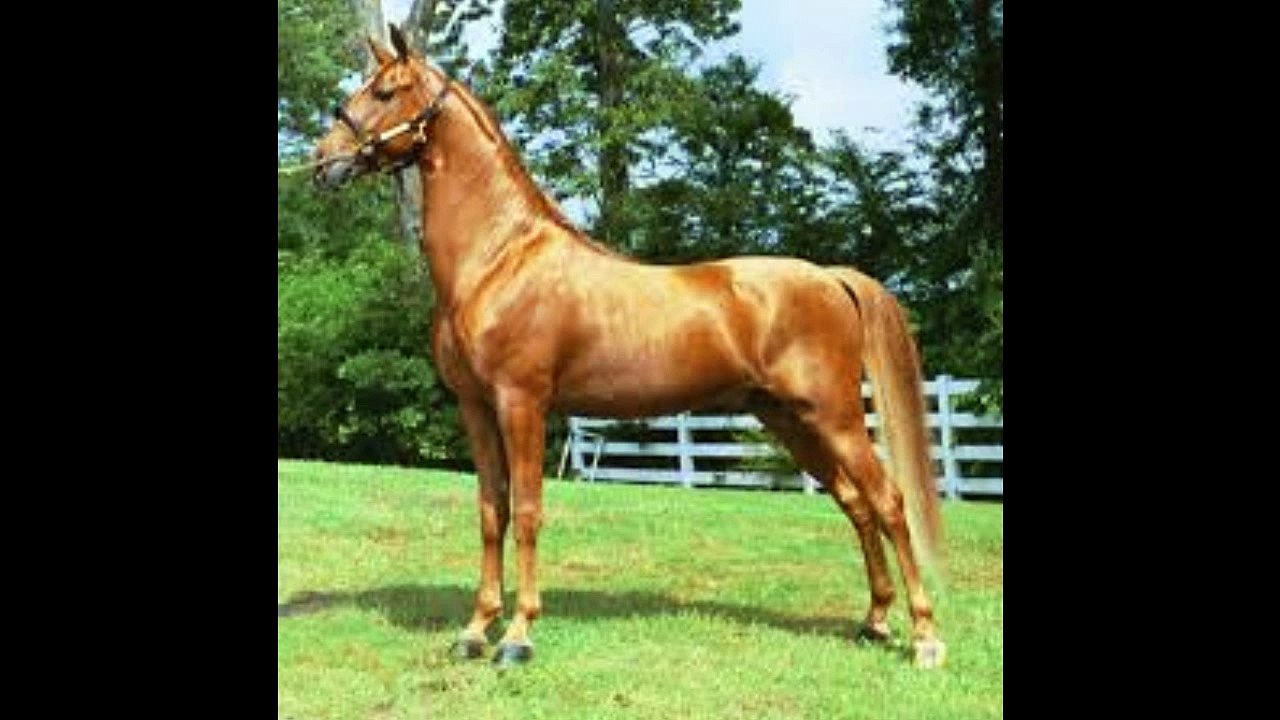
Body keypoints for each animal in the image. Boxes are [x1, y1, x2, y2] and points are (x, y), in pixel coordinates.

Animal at [311, 25, 946, 669]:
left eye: (386, 91)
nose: (321, 162)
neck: (499, 259)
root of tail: (829, 277)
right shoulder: (476, 408)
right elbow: (492, 512)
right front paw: (475, 629)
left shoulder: (522, 403)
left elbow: (528, 512)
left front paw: (517, 635)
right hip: (790, 421)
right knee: (856, 503)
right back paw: (874, 621)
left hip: (834, 416)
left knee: (889, 502)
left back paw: (924, 637)